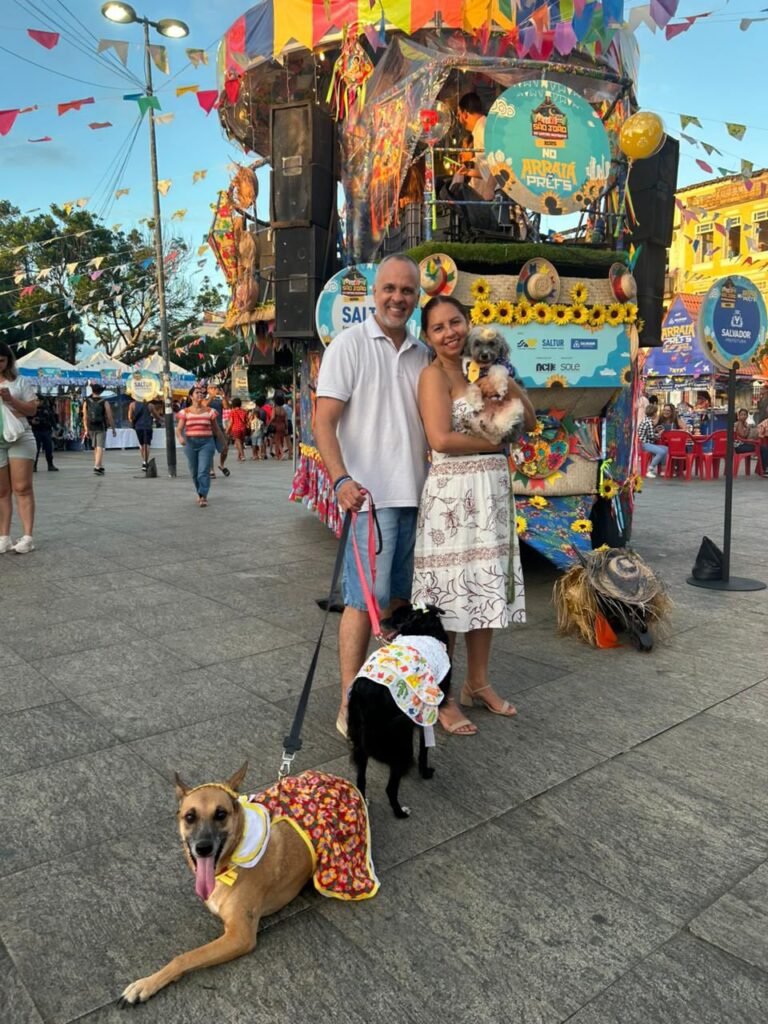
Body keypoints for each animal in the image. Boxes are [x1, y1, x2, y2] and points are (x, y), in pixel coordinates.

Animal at [119, 764, 378, 1005]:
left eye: (221, 814)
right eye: (190, 816)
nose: (203, 848)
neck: (228, 865)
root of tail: (345, 782)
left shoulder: (239, 936)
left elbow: (185, 956)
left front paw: (145, 984)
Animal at [347, 604, 451, 818]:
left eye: (396, 617)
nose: (381, 620)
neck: (424, 630)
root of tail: (365, 691)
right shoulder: (426, 715)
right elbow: (425, 749)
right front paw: (424, 772)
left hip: (360, 739)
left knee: (361, 779)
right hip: (401, 745)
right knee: (390, 787)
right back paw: (400, 811)